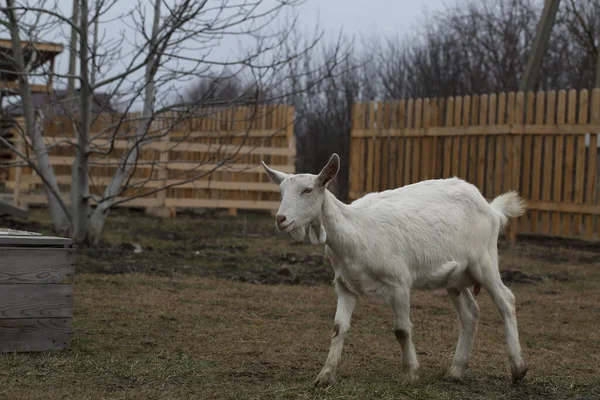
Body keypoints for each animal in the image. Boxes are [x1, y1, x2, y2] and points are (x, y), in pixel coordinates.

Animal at [260, 153, 528, 388]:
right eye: (281, 192)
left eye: (307, 190)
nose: (281, 219)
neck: (355, 231)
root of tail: (492, 209)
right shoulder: (345, 285)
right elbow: (338, 328)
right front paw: (324, 377)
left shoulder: (399, 281)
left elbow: (401, 330)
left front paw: (410, 374)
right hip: (455, 277)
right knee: (470, 313)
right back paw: (455, 371)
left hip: (484, 260)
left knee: (506, 300)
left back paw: (518, 369)